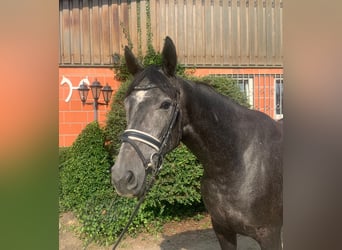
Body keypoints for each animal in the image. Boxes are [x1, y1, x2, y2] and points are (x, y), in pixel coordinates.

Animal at [111, 36, 282, 249]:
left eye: (166, 104)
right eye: (127, 104)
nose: (122, 177)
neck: (236, 164)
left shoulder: (270, 235)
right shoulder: (223, 230)